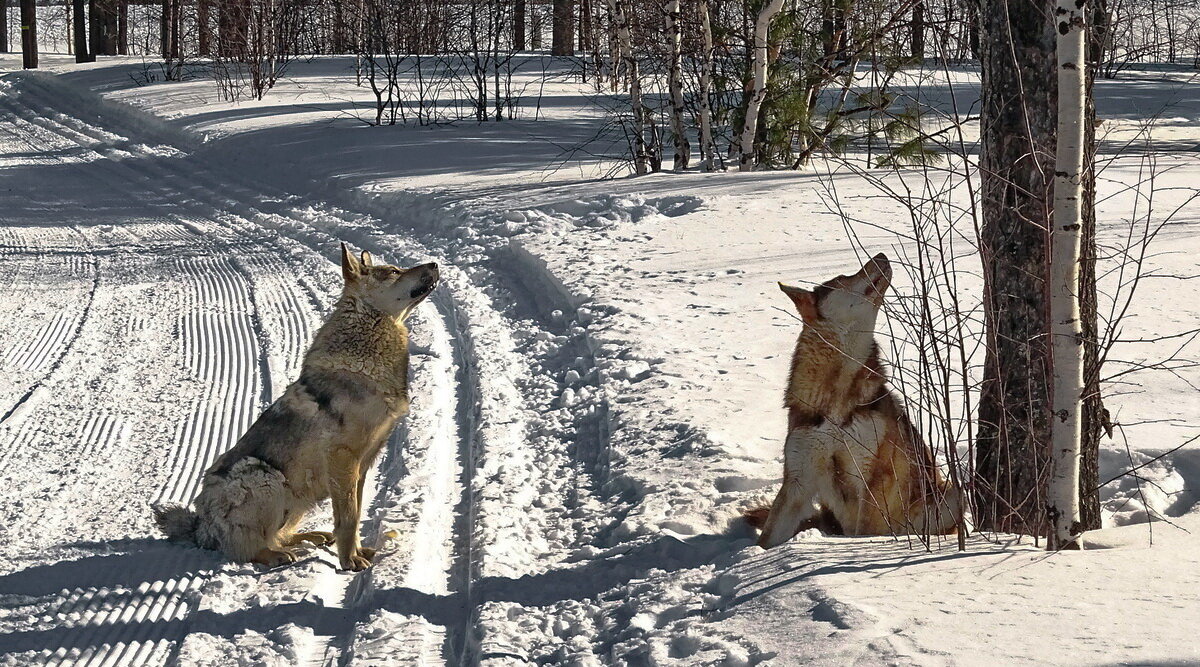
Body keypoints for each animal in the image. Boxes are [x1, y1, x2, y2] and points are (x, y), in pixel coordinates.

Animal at [156, 242, 441, 571]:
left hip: (300, 494)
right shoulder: (343, 458)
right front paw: (349, 561)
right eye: (394, 271)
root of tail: (201, 527)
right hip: (263, 477)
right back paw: (275, 555)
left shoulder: (362, 464)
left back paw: (310, 537)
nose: (435, 264)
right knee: (245, 548)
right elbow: (348, 518)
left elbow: (354, 515)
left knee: (279, 534)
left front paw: (356, 552)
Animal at [753, 253, 960, 549]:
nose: (882, 255)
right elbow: (767, 539)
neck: (837, 400)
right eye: (843, 278)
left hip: (953, 497)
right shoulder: (797, 481)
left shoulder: (871, 480)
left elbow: (864, 533)